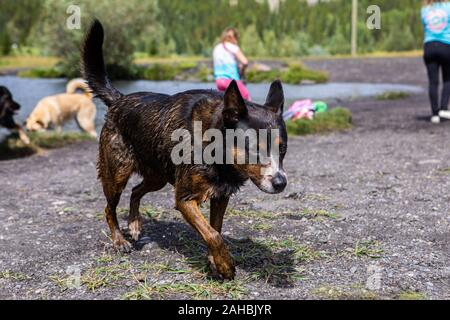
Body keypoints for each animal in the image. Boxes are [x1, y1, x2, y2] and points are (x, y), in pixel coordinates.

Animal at [81, 20, 288, 280]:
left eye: (283, 149)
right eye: (254, 149)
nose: (281, 183)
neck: (215, 147)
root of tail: (119, 100)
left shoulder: (221, 195)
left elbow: (215, 228)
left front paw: (214, 261)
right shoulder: (185, 199)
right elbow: (213, 234)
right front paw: (225, 265)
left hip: (158, 175)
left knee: (137, 191)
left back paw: (135, 223)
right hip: (116, 174)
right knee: (109, 208)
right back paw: (119, 239)